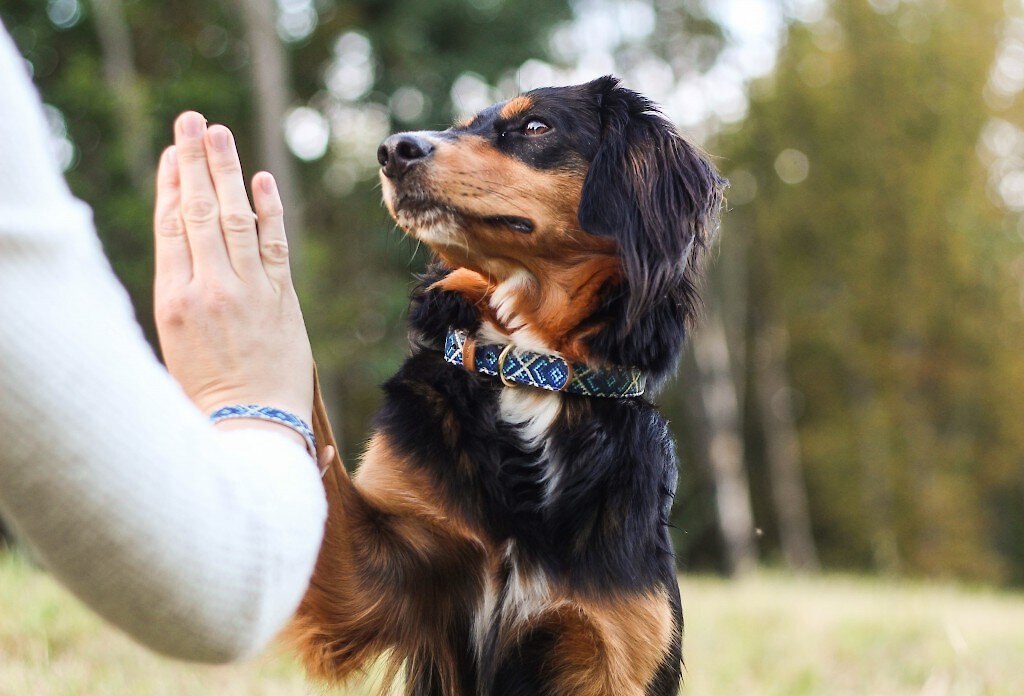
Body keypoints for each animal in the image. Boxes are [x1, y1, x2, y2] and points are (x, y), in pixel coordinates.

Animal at [284, 77, 724, 696]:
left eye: (536, 126)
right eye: (460, 125)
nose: (393, 150)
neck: (526, 365)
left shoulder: (617, 649)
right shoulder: (371, 582)